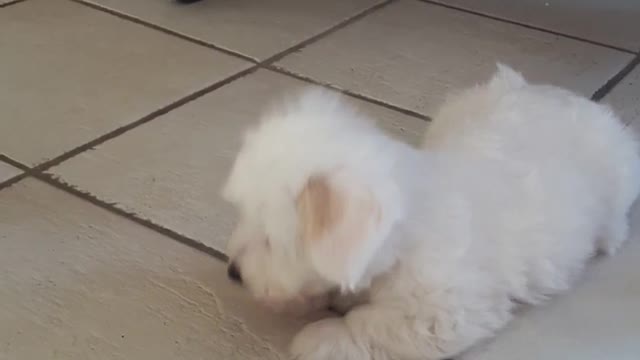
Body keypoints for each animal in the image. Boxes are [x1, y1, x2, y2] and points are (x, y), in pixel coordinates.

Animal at [221, 65, 640, 360]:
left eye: (271, 241)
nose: (233, 273)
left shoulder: (442, 312)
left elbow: (369, 323)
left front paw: (319, 337)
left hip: (618, 176)